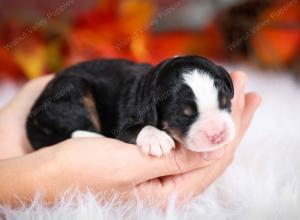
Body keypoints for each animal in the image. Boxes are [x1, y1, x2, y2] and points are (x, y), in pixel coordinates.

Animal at [26, 55, 234, 156]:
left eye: (225, 102)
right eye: (184, 115)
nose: (218, 135)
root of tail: (33, 110)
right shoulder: (121, 125)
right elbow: (137, 128)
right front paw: (157, 138)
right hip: (73, 93)